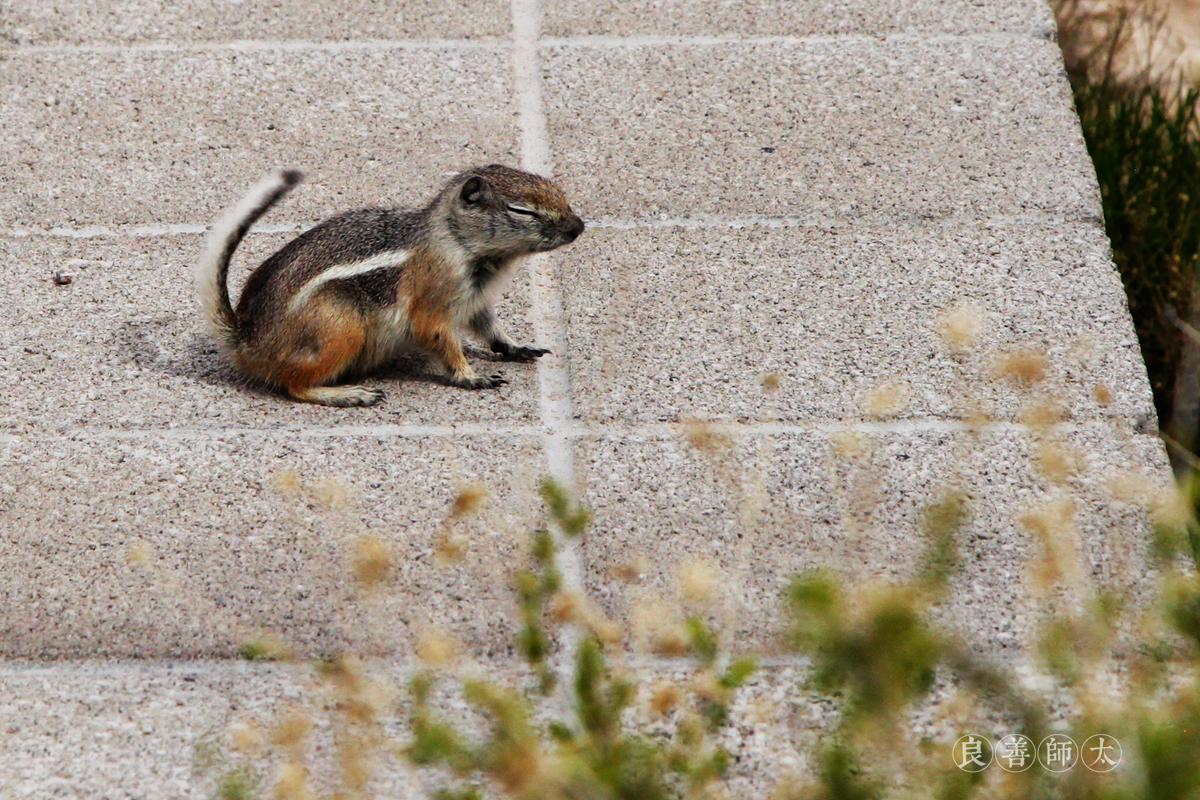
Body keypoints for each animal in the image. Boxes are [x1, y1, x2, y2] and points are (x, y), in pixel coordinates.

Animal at [194, 167, 583, 407]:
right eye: (522, 210)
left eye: (558, 191)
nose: (578, 227)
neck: (455, 240)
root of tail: (248, 339)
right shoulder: (436, 299)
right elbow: (441, 338)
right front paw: (472, 377)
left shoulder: (475, 300)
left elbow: (490, 329)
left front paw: (517, 347)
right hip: (341, 326)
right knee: (294, 384)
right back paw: (351, 394)